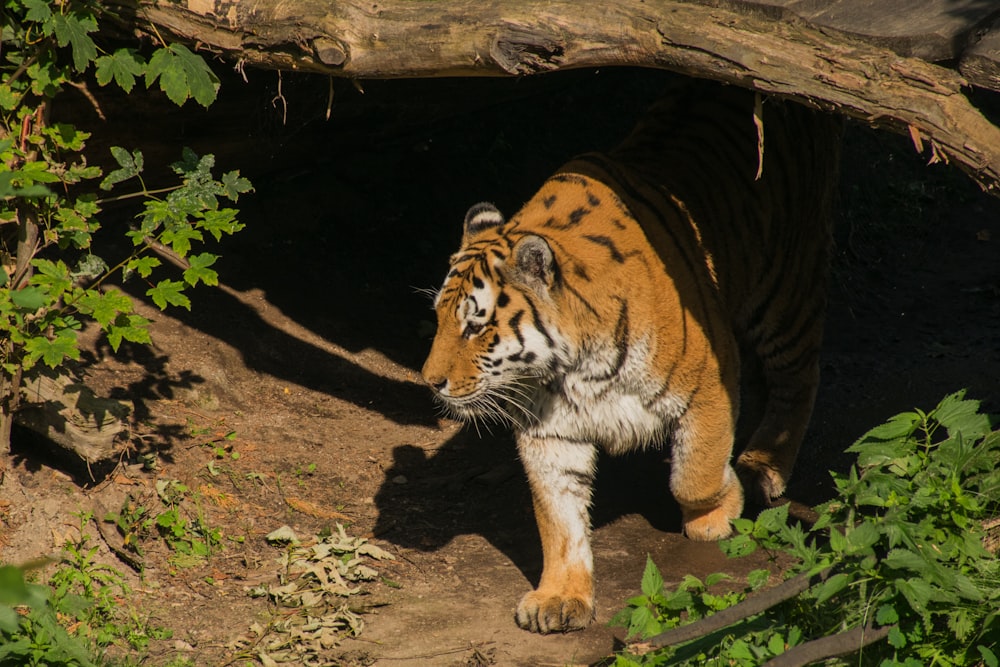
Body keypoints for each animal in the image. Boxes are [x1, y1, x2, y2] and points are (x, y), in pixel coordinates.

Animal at [418, 77, 840, 632]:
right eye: (440, 319)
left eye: (475, 325)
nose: (429, 381)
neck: (571, 369)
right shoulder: (551, 433)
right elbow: (559, 519)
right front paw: (559, 597)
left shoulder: (709, 382)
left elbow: (694, 474)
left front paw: (718, 512)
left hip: (783, 290)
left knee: (799, 376)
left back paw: (760, 466)